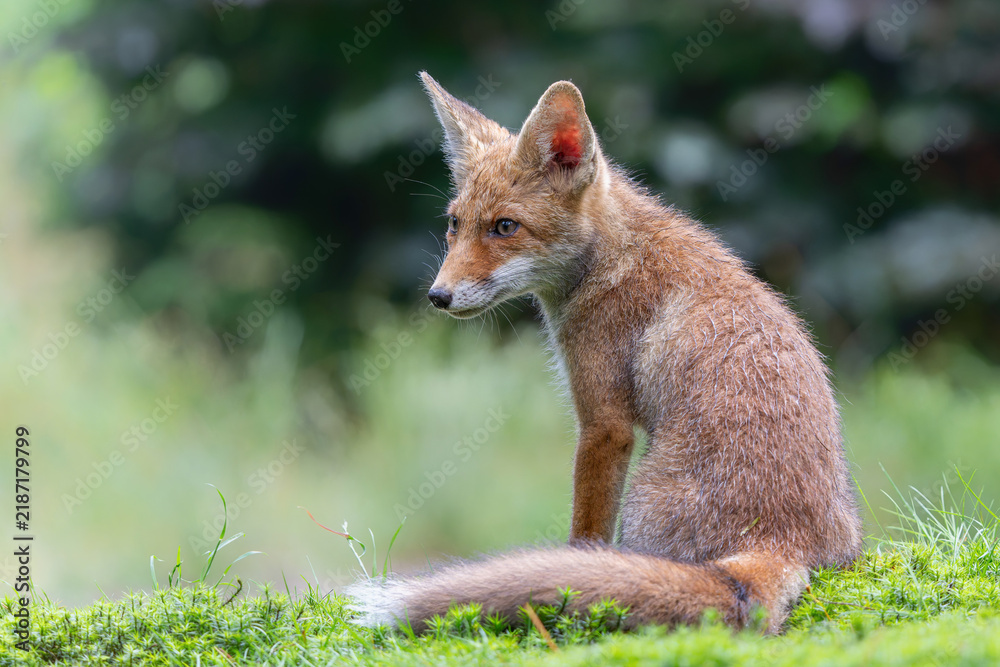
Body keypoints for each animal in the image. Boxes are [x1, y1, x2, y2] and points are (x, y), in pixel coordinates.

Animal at [348, 72, 862, 634]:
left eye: (504, 227)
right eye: (454, 224)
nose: (437, 297)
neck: (610, 256)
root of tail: (782, 542)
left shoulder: (604, 423)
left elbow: (585, 535)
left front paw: (568, 580)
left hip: (641, 500)